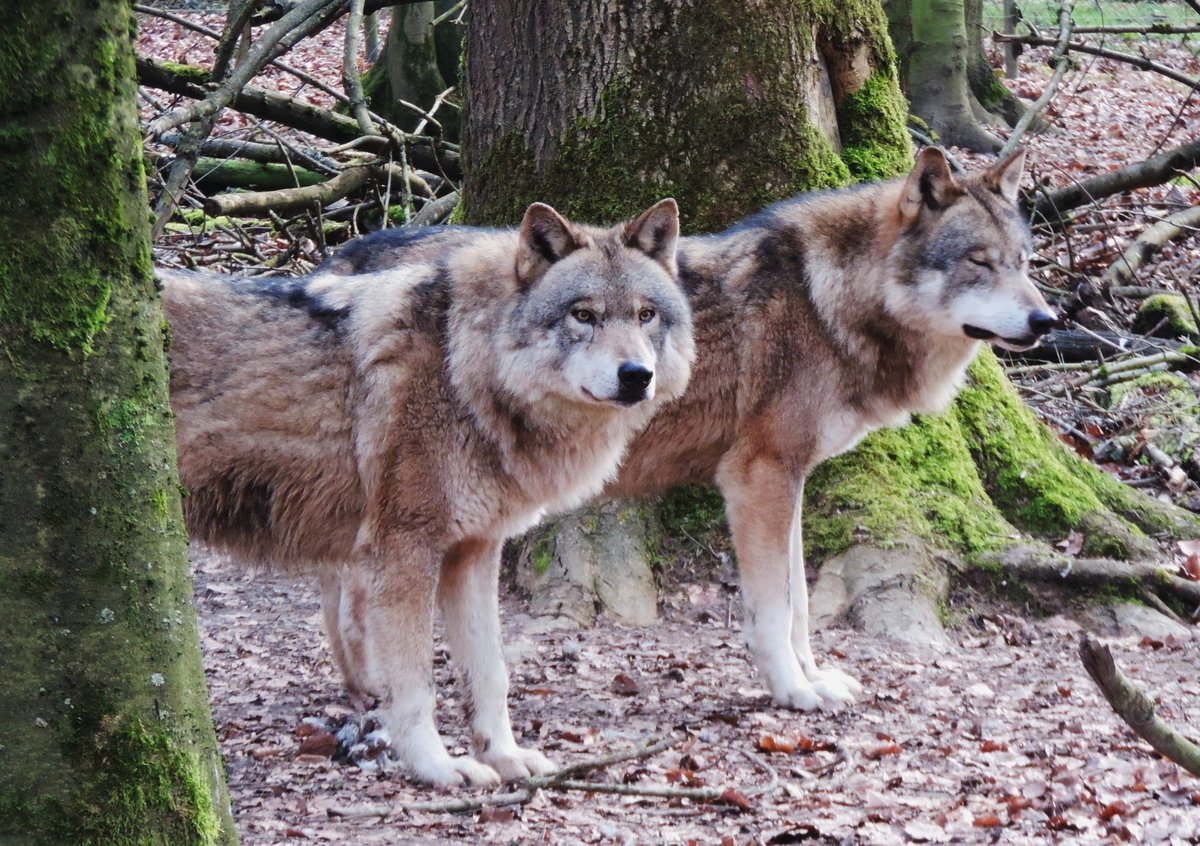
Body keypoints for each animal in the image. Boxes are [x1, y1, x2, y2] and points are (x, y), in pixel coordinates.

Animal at [164, 198, 700, 787]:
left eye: (646, 315)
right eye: (584, 315)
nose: (636, 375)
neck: (463, 366)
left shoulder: (474, 552)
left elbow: (490, 673)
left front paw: (503, 755)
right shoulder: (404, 550)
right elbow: (416, 683)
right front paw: (436, 766)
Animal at [316, 148, 1051, 715]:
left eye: (1022, 261)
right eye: (979, 262)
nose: (1046, 321)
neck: (830, 301)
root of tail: (341, 255)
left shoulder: (789, 480)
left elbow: (801, 605)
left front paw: (815, 679)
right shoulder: (759, 476)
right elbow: (775, 609)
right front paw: (792, 692)